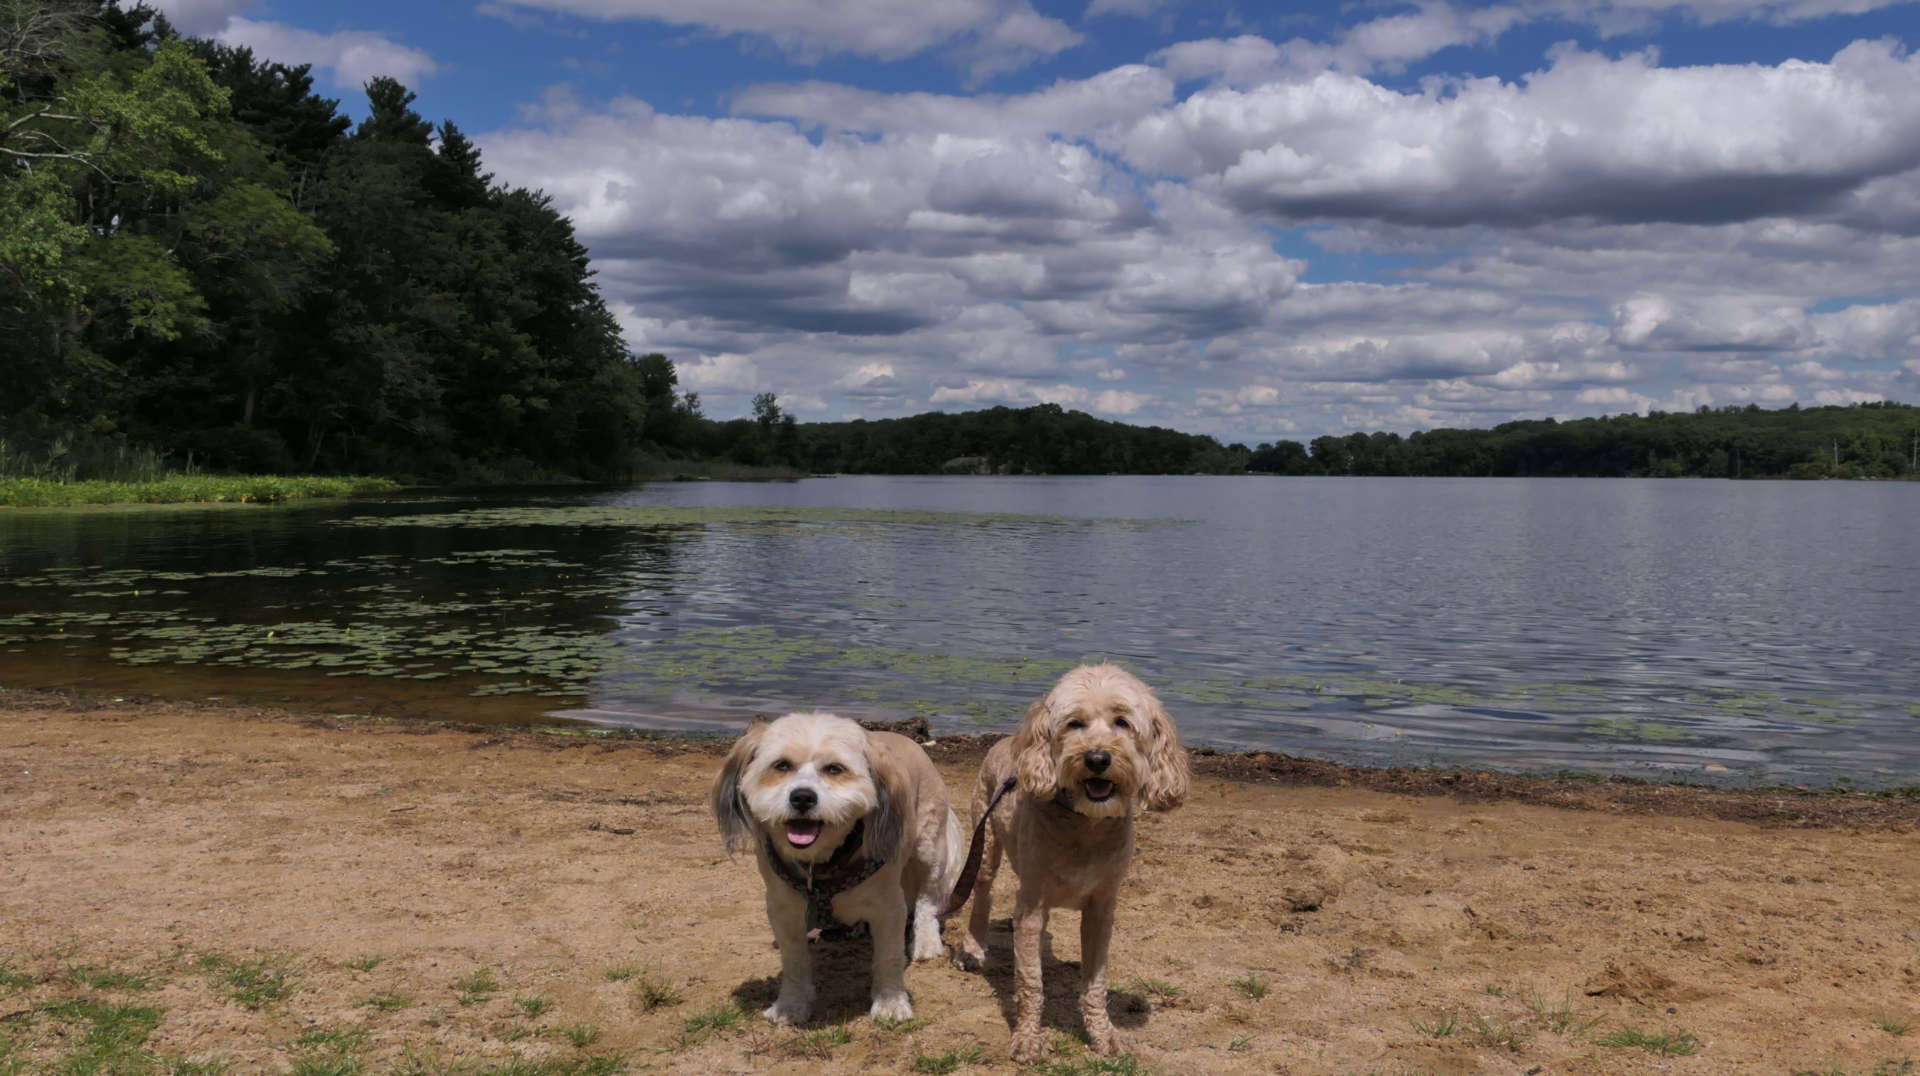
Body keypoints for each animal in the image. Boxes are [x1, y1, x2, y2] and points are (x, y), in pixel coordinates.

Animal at [714, 714, 967, 1022]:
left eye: (835, 769)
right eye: (782, 765)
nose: (802, 797)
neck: (822, 864)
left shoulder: (889, 907)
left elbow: (889, 957)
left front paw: (891, 1003)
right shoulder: (783, 909)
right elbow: (794, 961)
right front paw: (791, 1005)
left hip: (928, 847)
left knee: (926, 901)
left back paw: (926, 942)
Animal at [952, 664, 1190, 1060]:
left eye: (1122, 722)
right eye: (1074, 723)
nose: (1097, 759)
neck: (1085, 823)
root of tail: (1004, 741)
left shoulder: (1101, 909)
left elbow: (1095, 982)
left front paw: (1102, 1035)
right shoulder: (1031, 905)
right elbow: (1031, 982)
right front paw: (1028, 1037)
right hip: (984, 847)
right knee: (982, 895)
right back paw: (972, 947)